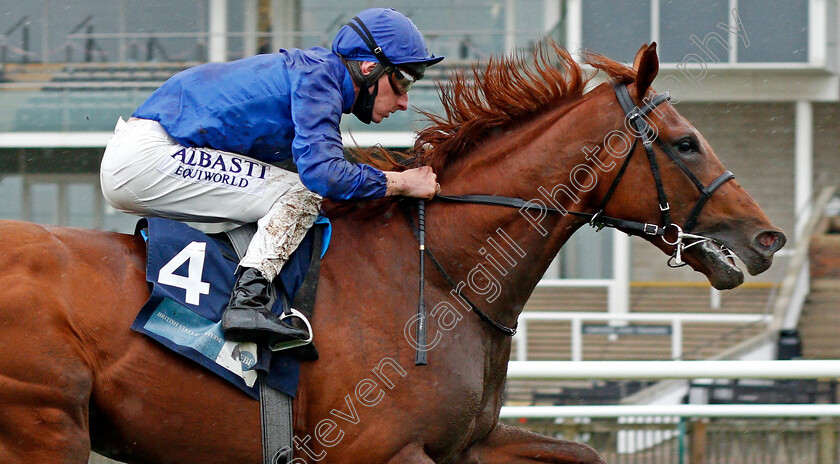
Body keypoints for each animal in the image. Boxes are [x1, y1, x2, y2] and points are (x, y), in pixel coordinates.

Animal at [0, 41, 788, 462]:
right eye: (686, 142)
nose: (767, 238)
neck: (440, 277)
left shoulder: (466, 443)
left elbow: (587, 451)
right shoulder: (377, 447)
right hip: (45, 425)